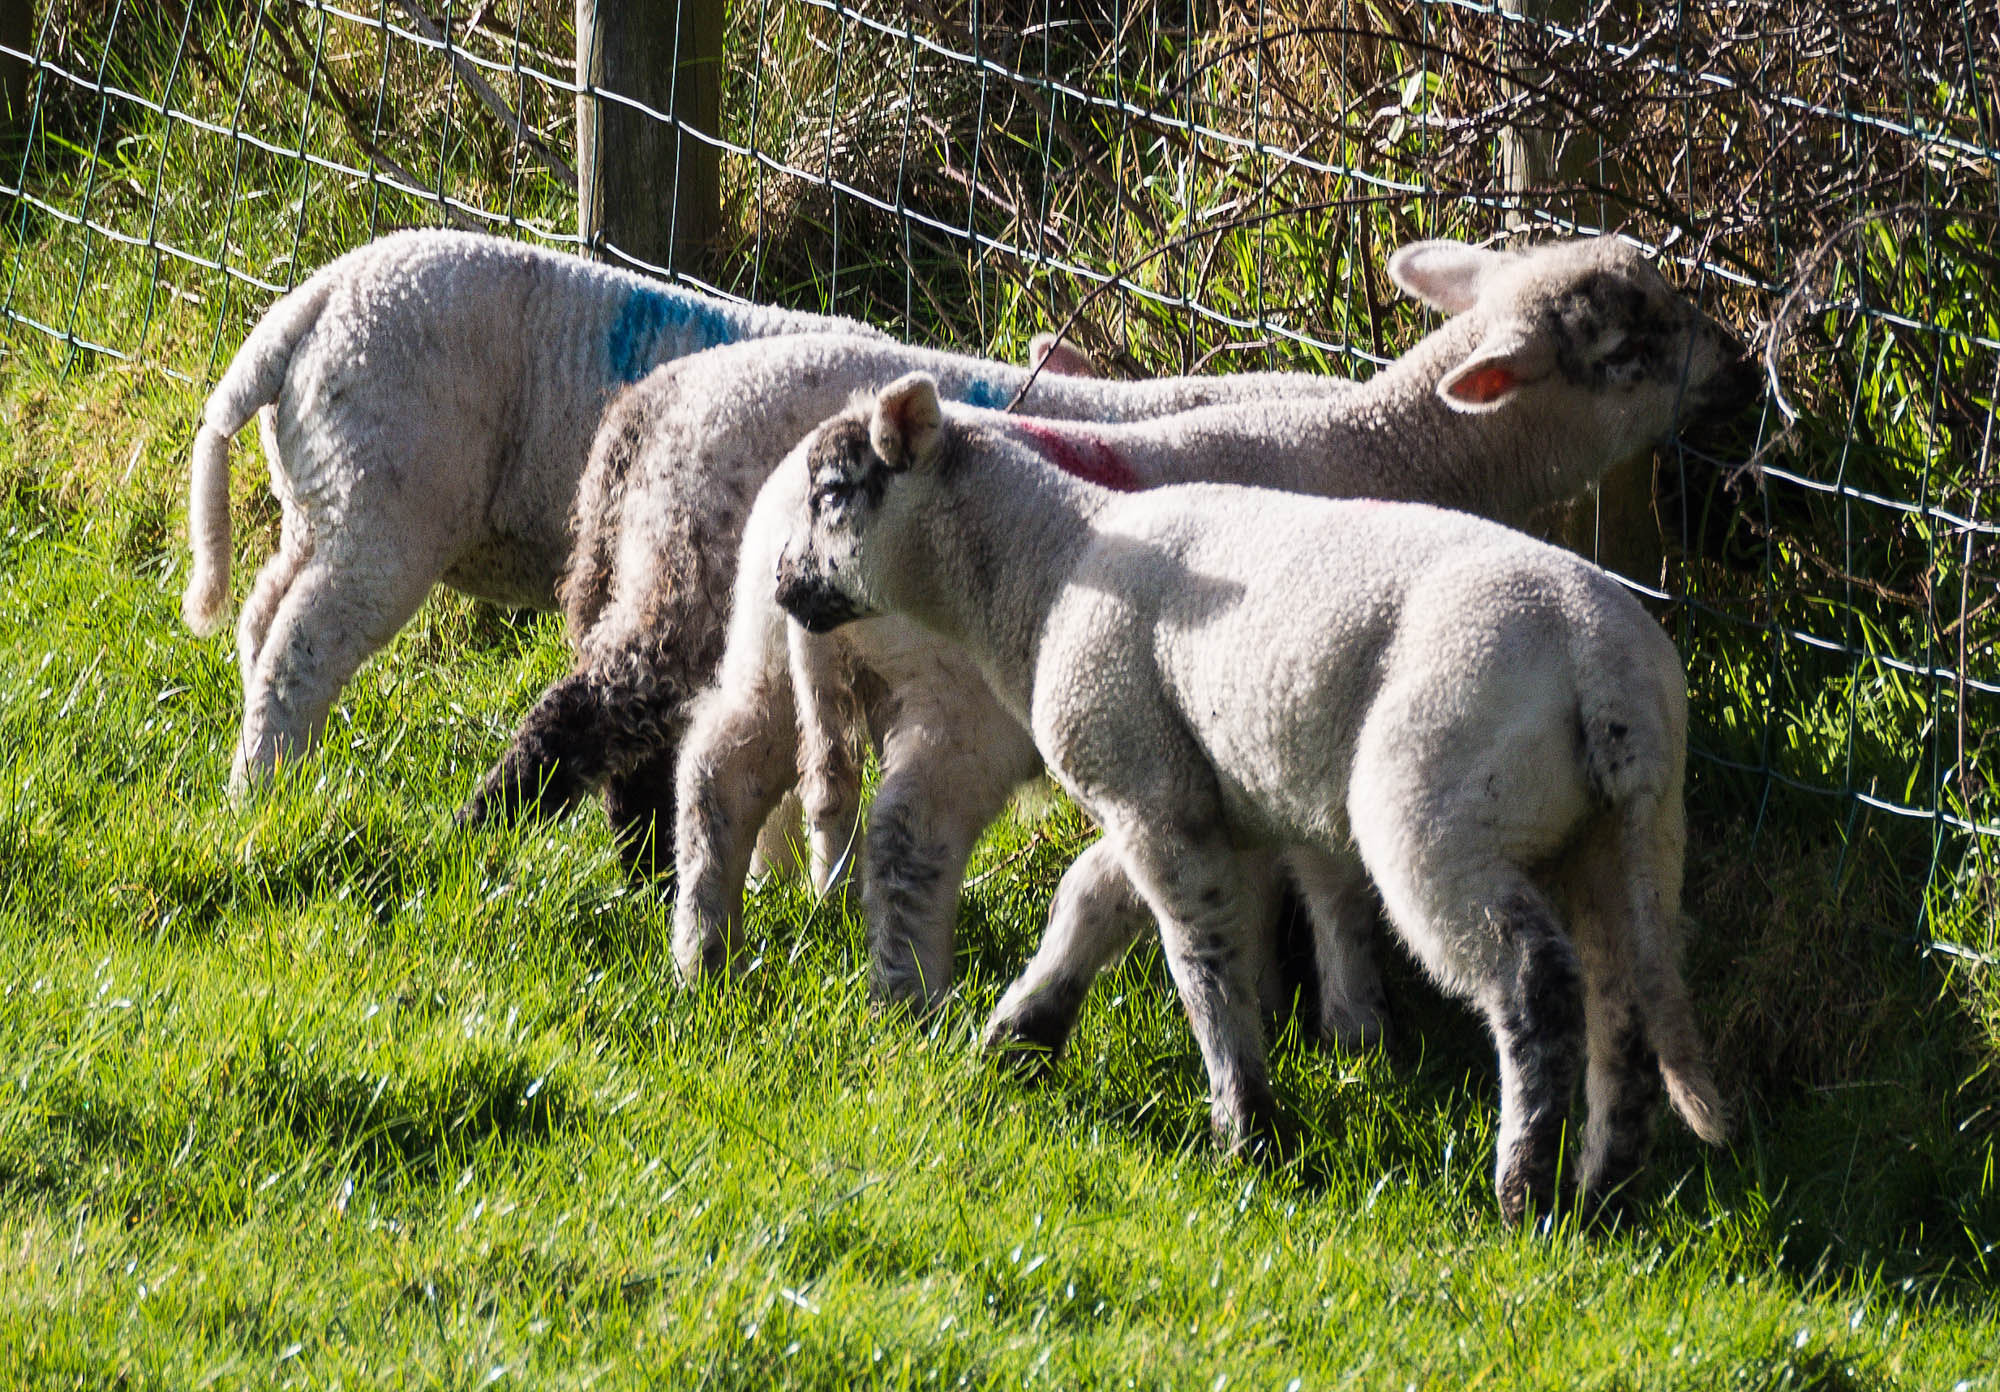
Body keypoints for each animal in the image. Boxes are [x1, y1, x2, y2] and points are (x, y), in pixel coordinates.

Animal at [179, 228, 883, 794]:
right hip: (379, 504)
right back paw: (262, 789)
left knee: (262, 615)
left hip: (317, 499)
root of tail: (313, 304)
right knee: (301, 645)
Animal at [453, 330, 1358, 867]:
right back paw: (485, 826)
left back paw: (643, 861)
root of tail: (647, 407)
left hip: (656, 570)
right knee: (596, 706)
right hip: (690, 577)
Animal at [672, 235, 1760, 1026]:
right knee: (907, 835)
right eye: (1626, 351)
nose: (1743, 369)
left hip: (765, 642)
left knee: (721, 767)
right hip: (956, 702)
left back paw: (702, 956)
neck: (1398, 446)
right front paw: (1327, 1014)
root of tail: (804, 520)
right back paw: (913, 1002)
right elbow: (1314, 875)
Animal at [759, 370, 1730, 1222]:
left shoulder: (1144, 786)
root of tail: (1603, 661)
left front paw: (1248, 1132)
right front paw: (1019, 1037)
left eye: (835, 492)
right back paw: (1604, 1194)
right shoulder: (1178, 785)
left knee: (1534, 980)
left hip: (1440, 806)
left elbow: (1200, 958)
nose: (777, 582)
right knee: (1622, 1001)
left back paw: (1525, 1191)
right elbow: (1088, 900)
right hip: (1626, 834)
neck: (1048, 564)